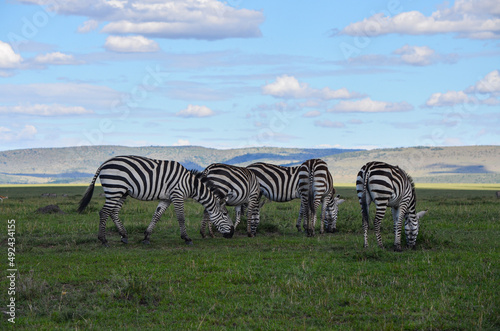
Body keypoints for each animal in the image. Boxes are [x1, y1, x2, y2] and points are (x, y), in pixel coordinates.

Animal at [77, 156, 234, 246]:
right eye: (225, 214)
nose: (232, 233)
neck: (190, 184)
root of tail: (104, 163)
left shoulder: (166, 199)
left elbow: (157, 216)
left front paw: (146, 237)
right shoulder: (177, 195)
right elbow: (181, 218)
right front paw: (186, 238)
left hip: (121, 192)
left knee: (113, 212)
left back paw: (124, 236)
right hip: (115, 188)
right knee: (104, 212)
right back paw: (103, 240)